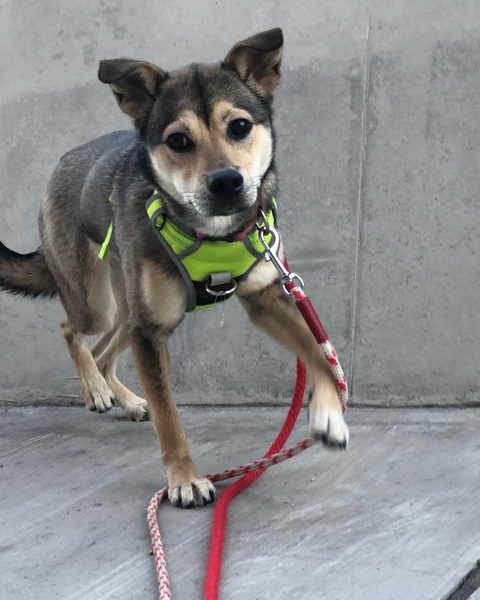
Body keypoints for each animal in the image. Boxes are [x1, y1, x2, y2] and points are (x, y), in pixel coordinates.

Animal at [0, 28, 348, 507]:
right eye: (179, 141)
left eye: (240, 127)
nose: (226, 182)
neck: (212, 234)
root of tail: (63, 160)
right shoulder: (150, 331)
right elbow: (170, 416)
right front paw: (184, 478)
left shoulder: (266, 297)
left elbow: (317, 349)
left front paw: (329, 412)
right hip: (98, 303)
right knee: (72, 329)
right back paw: (96, 390)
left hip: (130, 307)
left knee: (103, 351)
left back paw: (123, 397)